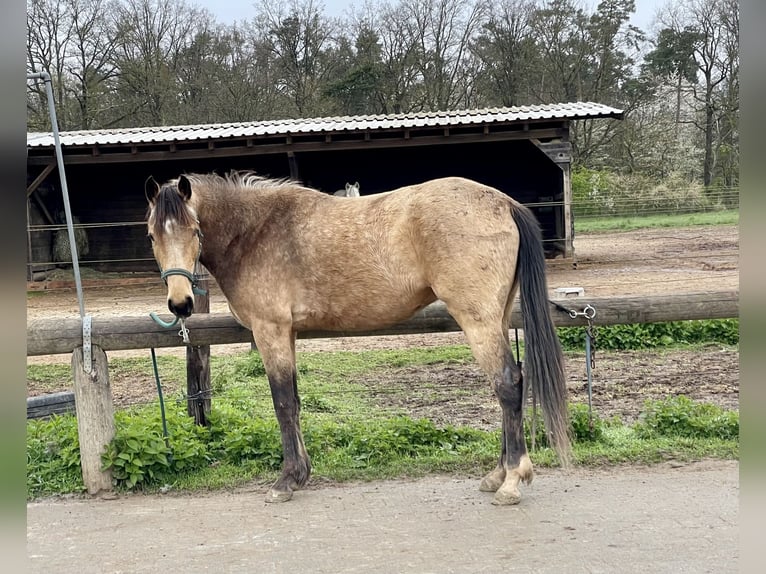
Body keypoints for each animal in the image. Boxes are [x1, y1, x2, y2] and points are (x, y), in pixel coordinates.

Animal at [145, 171, 570, 505]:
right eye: (151, 235)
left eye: (195, 231)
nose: (180, 303)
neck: (257, 231)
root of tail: (504, 203)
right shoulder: (288, 334)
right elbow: (295, 401)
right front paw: (301, 473)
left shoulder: (271, 331)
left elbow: (282, 403)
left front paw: (286, 480)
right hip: (497, 317)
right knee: (509, 387)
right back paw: (497, 475)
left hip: (478, 320)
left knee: (508, 384)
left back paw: (512, 480)